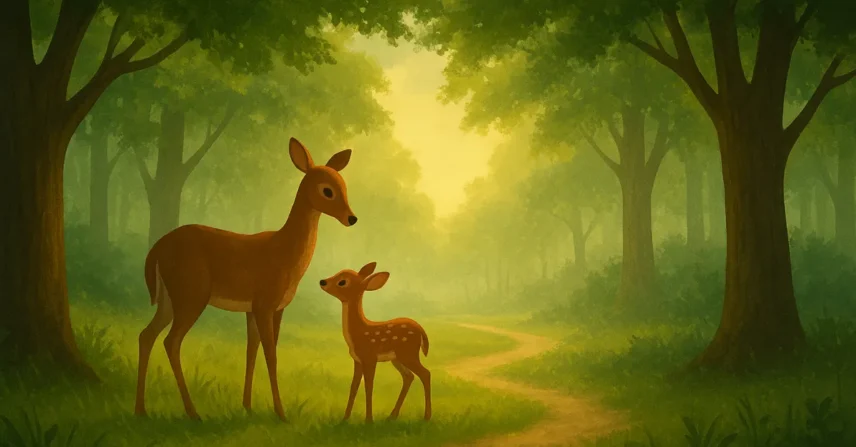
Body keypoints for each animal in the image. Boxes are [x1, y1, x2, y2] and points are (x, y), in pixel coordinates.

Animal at [135, 138, 357, 422]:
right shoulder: (264, 303)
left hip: (169, 298)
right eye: (327, 190)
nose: (352, 218)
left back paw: (141, 409)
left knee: (146, 335)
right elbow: (271, 354)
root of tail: (156, 249)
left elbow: (252, 350)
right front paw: (281, 413)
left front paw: (247, 406)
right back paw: (192, 412)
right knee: (171, 341)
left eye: (344, 185)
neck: (285, 253)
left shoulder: (267, 308)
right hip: (191, 293)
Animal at [319, 262, 432, 423]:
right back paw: (392, 416)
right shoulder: (357, 360)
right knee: (409, 376)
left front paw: (368, 420)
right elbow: (353, 386)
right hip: (397, 358)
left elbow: (369, 386)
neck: (358, 333)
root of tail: (421, 330)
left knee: (425, 374)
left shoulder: (369, 358)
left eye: (342, 282)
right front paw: (345, 419)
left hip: (408, 353)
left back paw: (426, 417)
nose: (322, 281)